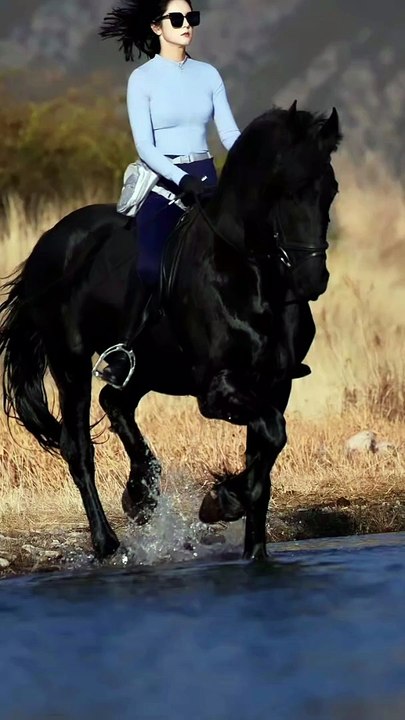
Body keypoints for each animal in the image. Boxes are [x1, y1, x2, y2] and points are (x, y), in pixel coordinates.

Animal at [0, 101, 341, 562]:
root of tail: (49, 242)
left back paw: (140, 494)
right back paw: (108, 543)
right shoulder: (216, 390)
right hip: (70, 365)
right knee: (78, 447)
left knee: (115, 401)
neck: (248, 275)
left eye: (331, 190)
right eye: (286, 190)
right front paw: (221, 501)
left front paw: (251, 545)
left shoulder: (274, 384)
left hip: (145, 367)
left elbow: (265, 457)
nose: (312, 280)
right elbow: (271, 435)